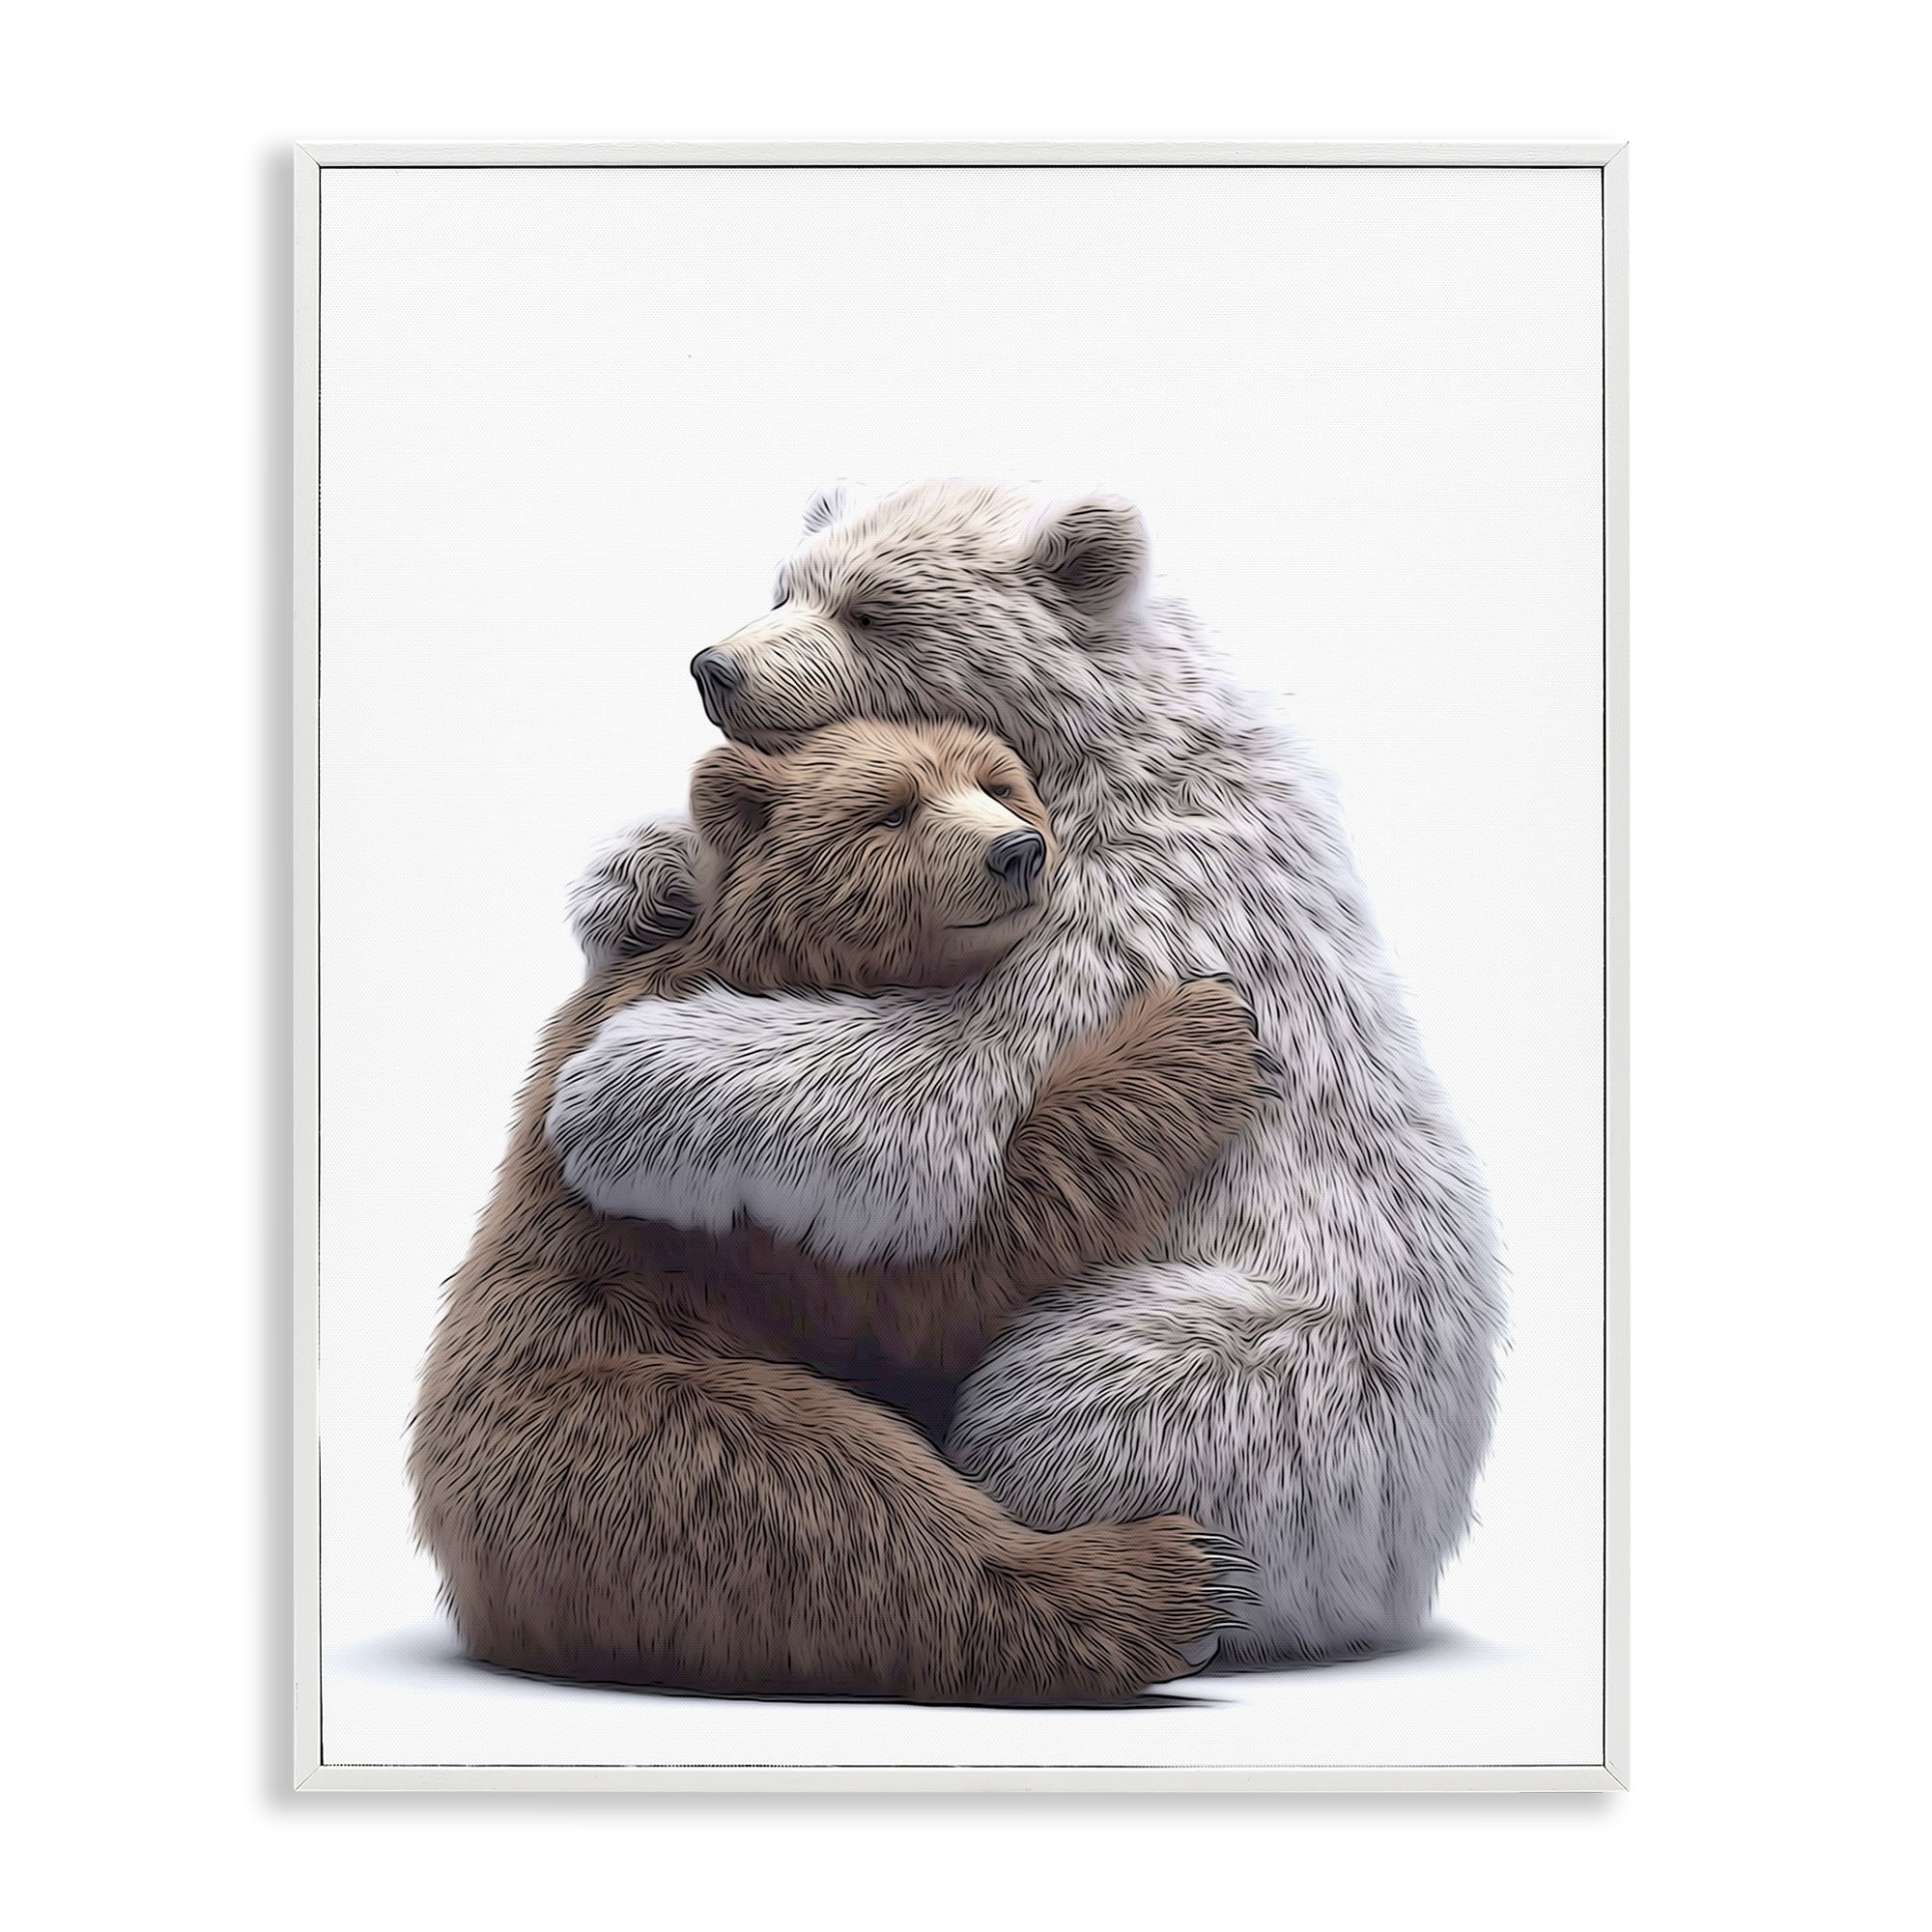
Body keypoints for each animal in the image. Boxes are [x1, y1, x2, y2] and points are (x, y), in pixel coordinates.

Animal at [410, 715, 1273, 1703]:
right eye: (889, 810)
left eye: (999, 784)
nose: (1016, 851)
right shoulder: (715, 1216)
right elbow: (931, 1277)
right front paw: (1197, 1027)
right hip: (603, 1417)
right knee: (821, 1489)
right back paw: (1171, 1580)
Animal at [547, 479, 1507, 1666]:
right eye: (785, 586)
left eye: (873, 609)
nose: (714, 666)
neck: (1103, 743)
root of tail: (1414, 1555)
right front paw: (638, 879)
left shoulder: (1135, 897)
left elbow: (944, 1073)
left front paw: (614, 1089)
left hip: (1277, 1368)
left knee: (1064, 1397)